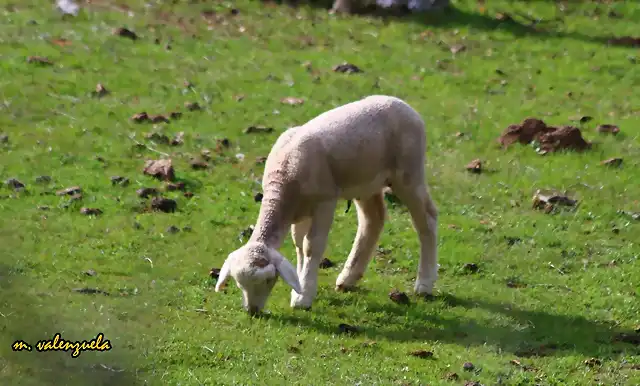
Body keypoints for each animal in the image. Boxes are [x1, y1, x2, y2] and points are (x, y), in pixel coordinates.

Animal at [218, 95, 438, 314]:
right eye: (239, 283)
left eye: (267, 280)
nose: (252, 310)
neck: (283, 181)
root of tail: (402, 104)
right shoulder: (300, 211)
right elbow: (299, 244)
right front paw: (299, 288)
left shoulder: (325, 201)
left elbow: (311, 246)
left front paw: (304, 296)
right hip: (366, 182)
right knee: (373, 220)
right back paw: (348, 278)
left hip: (409, 172)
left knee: (427, 218)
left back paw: (425, 283)